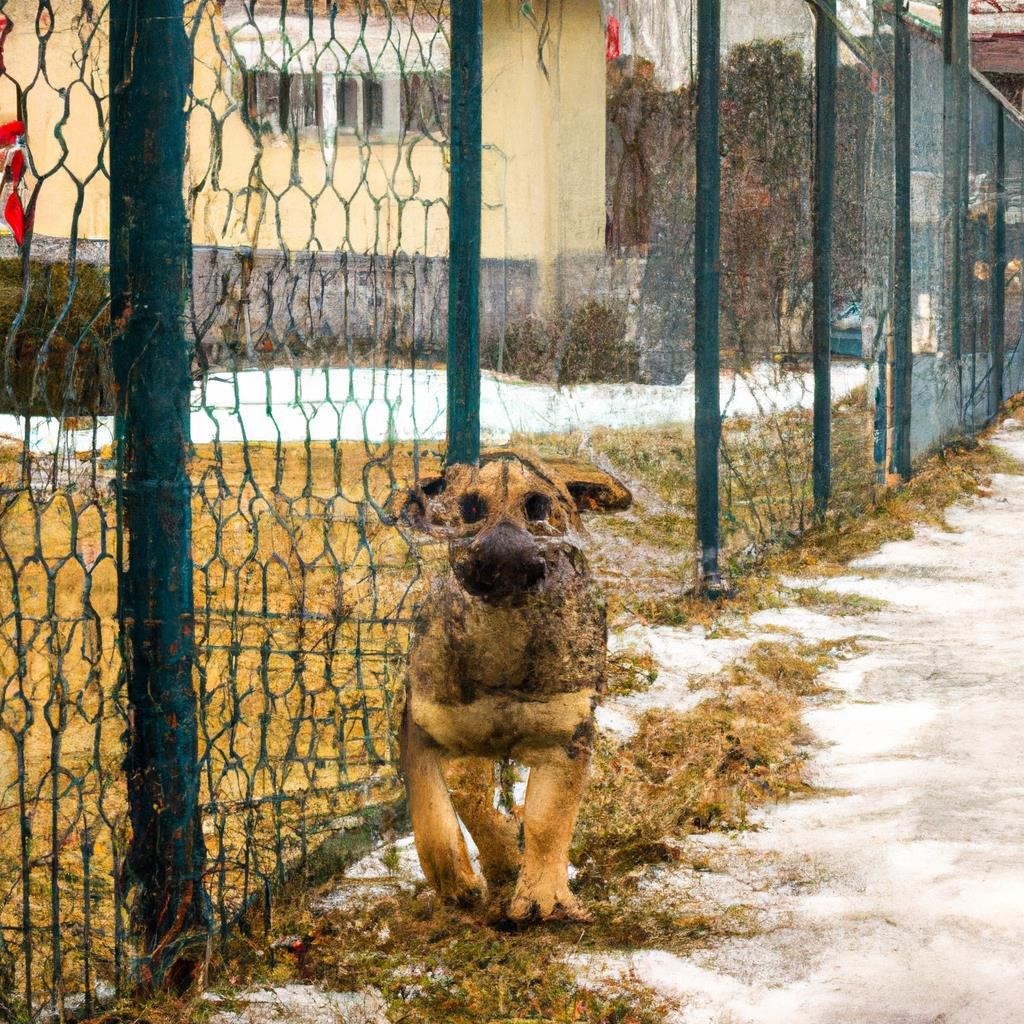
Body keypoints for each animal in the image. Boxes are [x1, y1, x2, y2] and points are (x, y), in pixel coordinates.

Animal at [399, 448, 630, 921]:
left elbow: (549, 820)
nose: (504, 560)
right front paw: (463, 882)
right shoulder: (428, 723)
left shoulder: (566, 733)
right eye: (470, 508)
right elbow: (439, 810)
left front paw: (541, 897)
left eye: (539, 506)